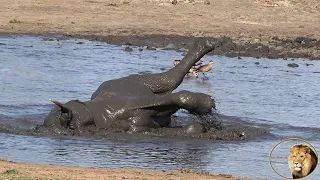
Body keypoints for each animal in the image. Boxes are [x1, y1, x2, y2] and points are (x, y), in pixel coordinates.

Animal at [43, 38, 220, 134]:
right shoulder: (133, 125)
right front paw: (201, 124)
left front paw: (207, 105)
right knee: (169, 82)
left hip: (131, 80)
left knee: (168, 80)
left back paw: (206, 44)